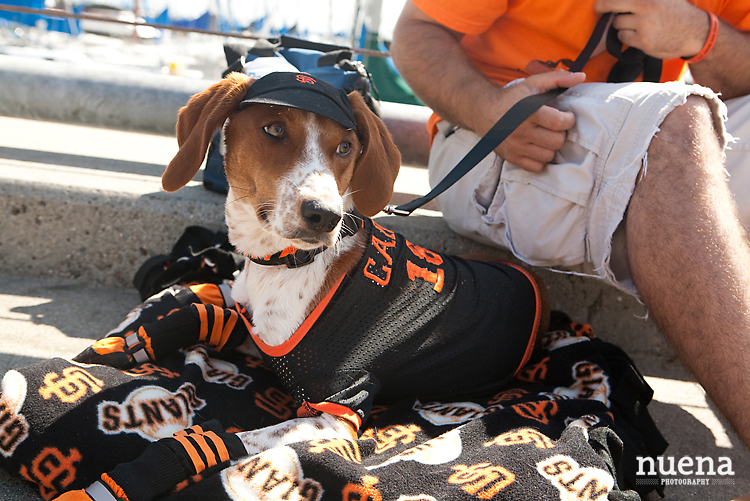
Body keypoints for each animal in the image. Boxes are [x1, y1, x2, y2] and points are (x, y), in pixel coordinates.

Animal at [162, 71, 548, 454]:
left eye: (345, 148)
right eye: (274, 129)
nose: (325, 215)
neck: (282, 263)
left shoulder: (337, 408)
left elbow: (237, 438)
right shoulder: (261, 339)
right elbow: (209, 319)